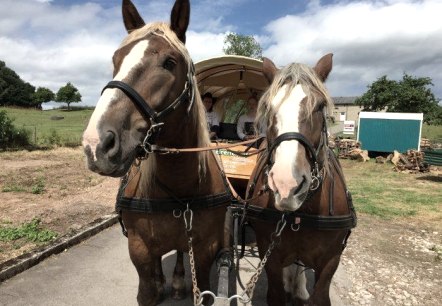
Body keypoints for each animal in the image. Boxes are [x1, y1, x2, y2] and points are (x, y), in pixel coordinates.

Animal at [81, 1, 231, 304]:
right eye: (116, 60)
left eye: (169, 62)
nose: (96, 143)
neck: (179, 188)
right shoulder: (140, 251)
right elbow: (149, 286)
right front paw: (160, 284)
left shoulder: (206, 252)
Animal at [245, 53, 356, 304]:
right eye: (268, 107)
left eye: (320, 106)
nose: (287, 185)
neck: (302, 214)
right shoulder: (271, 254)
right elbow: (276, 294)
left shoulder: (331, 260)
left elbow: (320, 297)